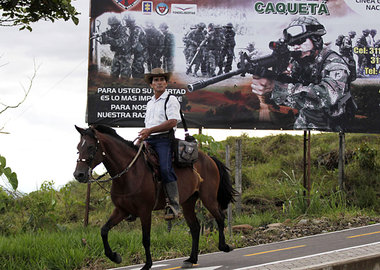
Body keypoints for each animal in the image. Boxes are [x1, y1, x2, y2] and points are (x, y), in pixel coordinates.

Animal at [72, 125, 236, 268]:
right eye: (78, 148)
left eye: (91, 147)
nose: (78, 175)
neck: (129, 173)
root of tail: (209, 158)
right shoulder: (121, 210)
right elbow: (104, 230)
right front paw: (115, 257)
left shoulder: (145, 211)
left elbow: (146, 238)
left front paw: (147, 265)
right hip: (188, 202)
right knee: (195, 228)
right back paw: (191, 259)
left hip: (208, 197)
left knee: (220, 217)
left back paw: (224, 246)